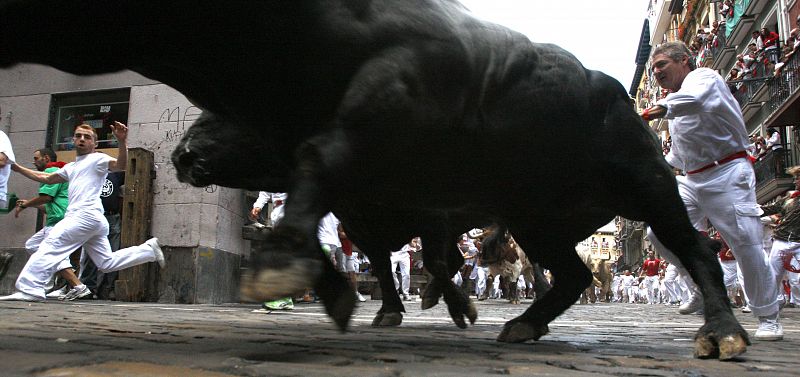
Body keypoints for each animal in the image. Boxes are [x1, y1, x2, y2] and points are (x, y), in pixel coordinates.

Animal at [0, 0, 752, 358]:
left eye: (219, 116)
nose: (183, 153)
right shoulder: (367, 212)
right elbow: (361, 250)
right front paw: (342, 291)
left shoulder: (398, 122)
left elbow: (335, 171)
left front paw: (283, 273)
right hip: (533, 218)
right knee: (568, 274)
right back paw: (522, 324)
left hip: (647, 183)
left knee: (696, 250)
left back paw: (724, 332)